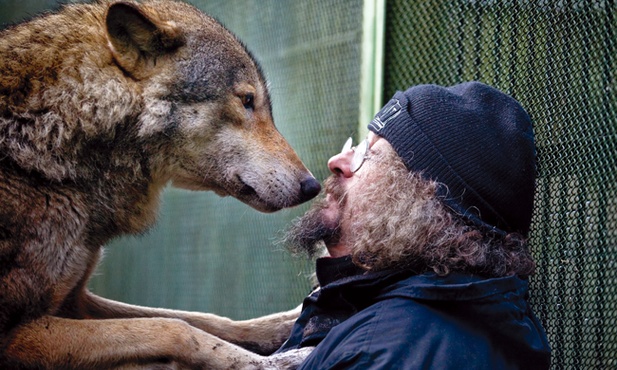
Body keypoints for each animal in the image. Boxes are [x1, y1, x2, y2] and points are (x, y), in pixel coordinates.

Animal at [0, 1, 318, 368]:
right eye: (247, 100)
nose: (312, 186)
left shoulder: (77, 299)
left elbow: (205, 319)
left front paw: (287, 325)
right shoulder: (16, 333)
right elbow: (175, 329)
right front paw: (277, 362)